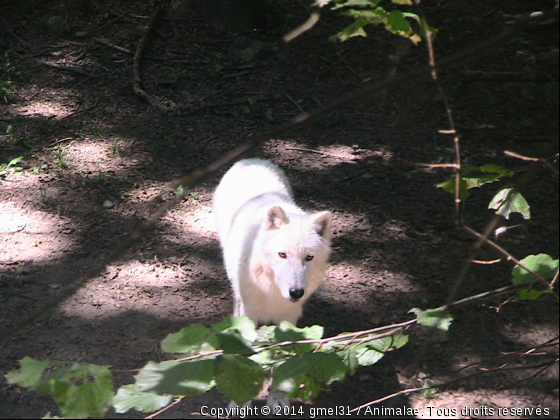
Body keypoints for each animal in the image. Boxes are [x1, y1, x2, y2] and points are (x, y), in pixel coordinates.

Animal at [212, 158, 330, 324]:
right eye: (282, 254)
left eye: (309, 257)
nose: (296, 292)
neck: (271, 292)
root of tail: (252, 160)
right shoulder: (248, 313)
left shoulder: (289, 316)